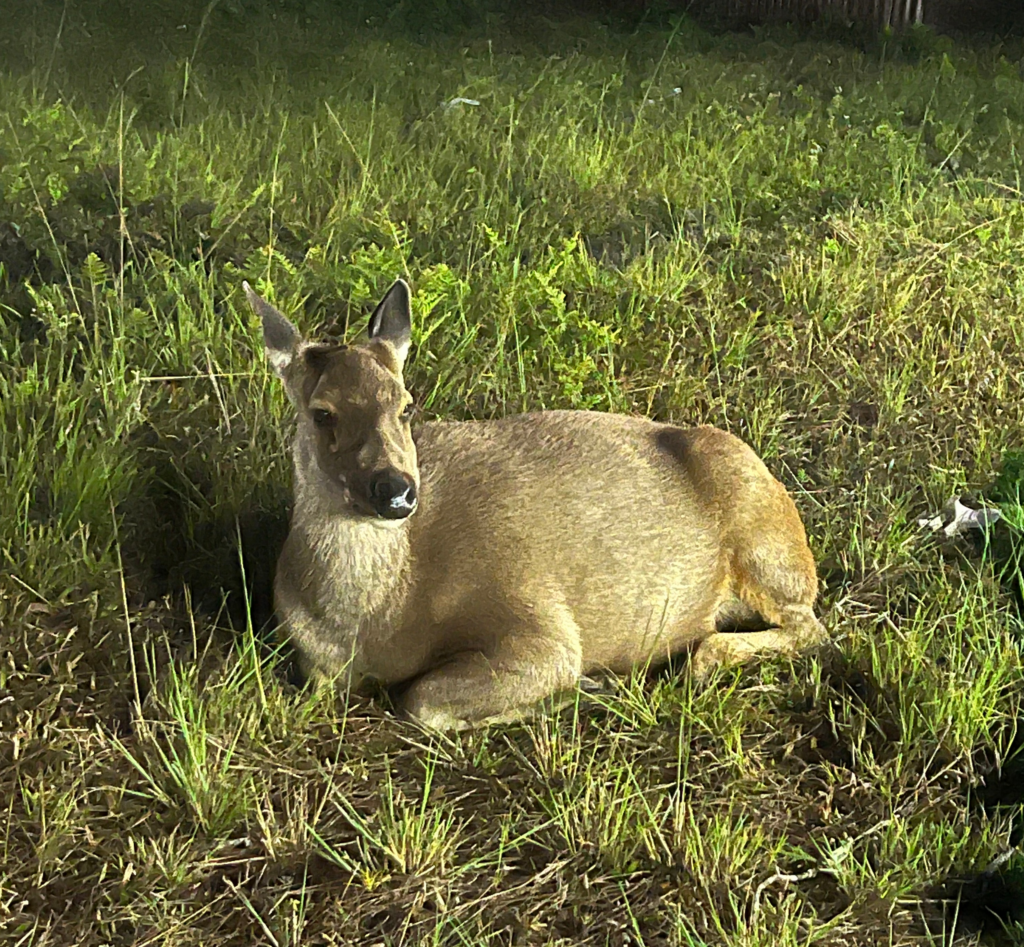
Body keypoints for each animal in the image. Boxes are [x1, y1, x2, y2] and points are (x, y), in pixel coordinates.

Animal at [243, 276, 827, 728]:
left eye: (406, 405)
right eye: (321, 413)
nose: (396, 490)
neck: (380, 621)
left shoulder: (538, 623)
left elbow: (421, 702)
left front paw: (587, 690)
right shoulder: (313, 665)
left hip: (765, 542)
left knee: (810, 627)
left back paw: (697, 661)